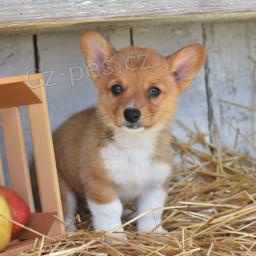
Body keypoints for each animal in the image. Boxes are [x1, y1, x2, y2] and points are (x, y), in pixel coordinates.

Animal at [54, 31, 206, 237]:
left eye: (154, 91)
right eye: (116, 88)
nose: (132, 114)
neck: (135, 144)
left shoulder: (155, 185)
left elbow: (151, 212)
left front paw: (152, 233)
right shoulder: (100, 184)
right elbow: (110, 213)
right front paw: (115, 237)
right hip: (63, 188)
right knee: (67, 213)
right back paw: (70, 232)